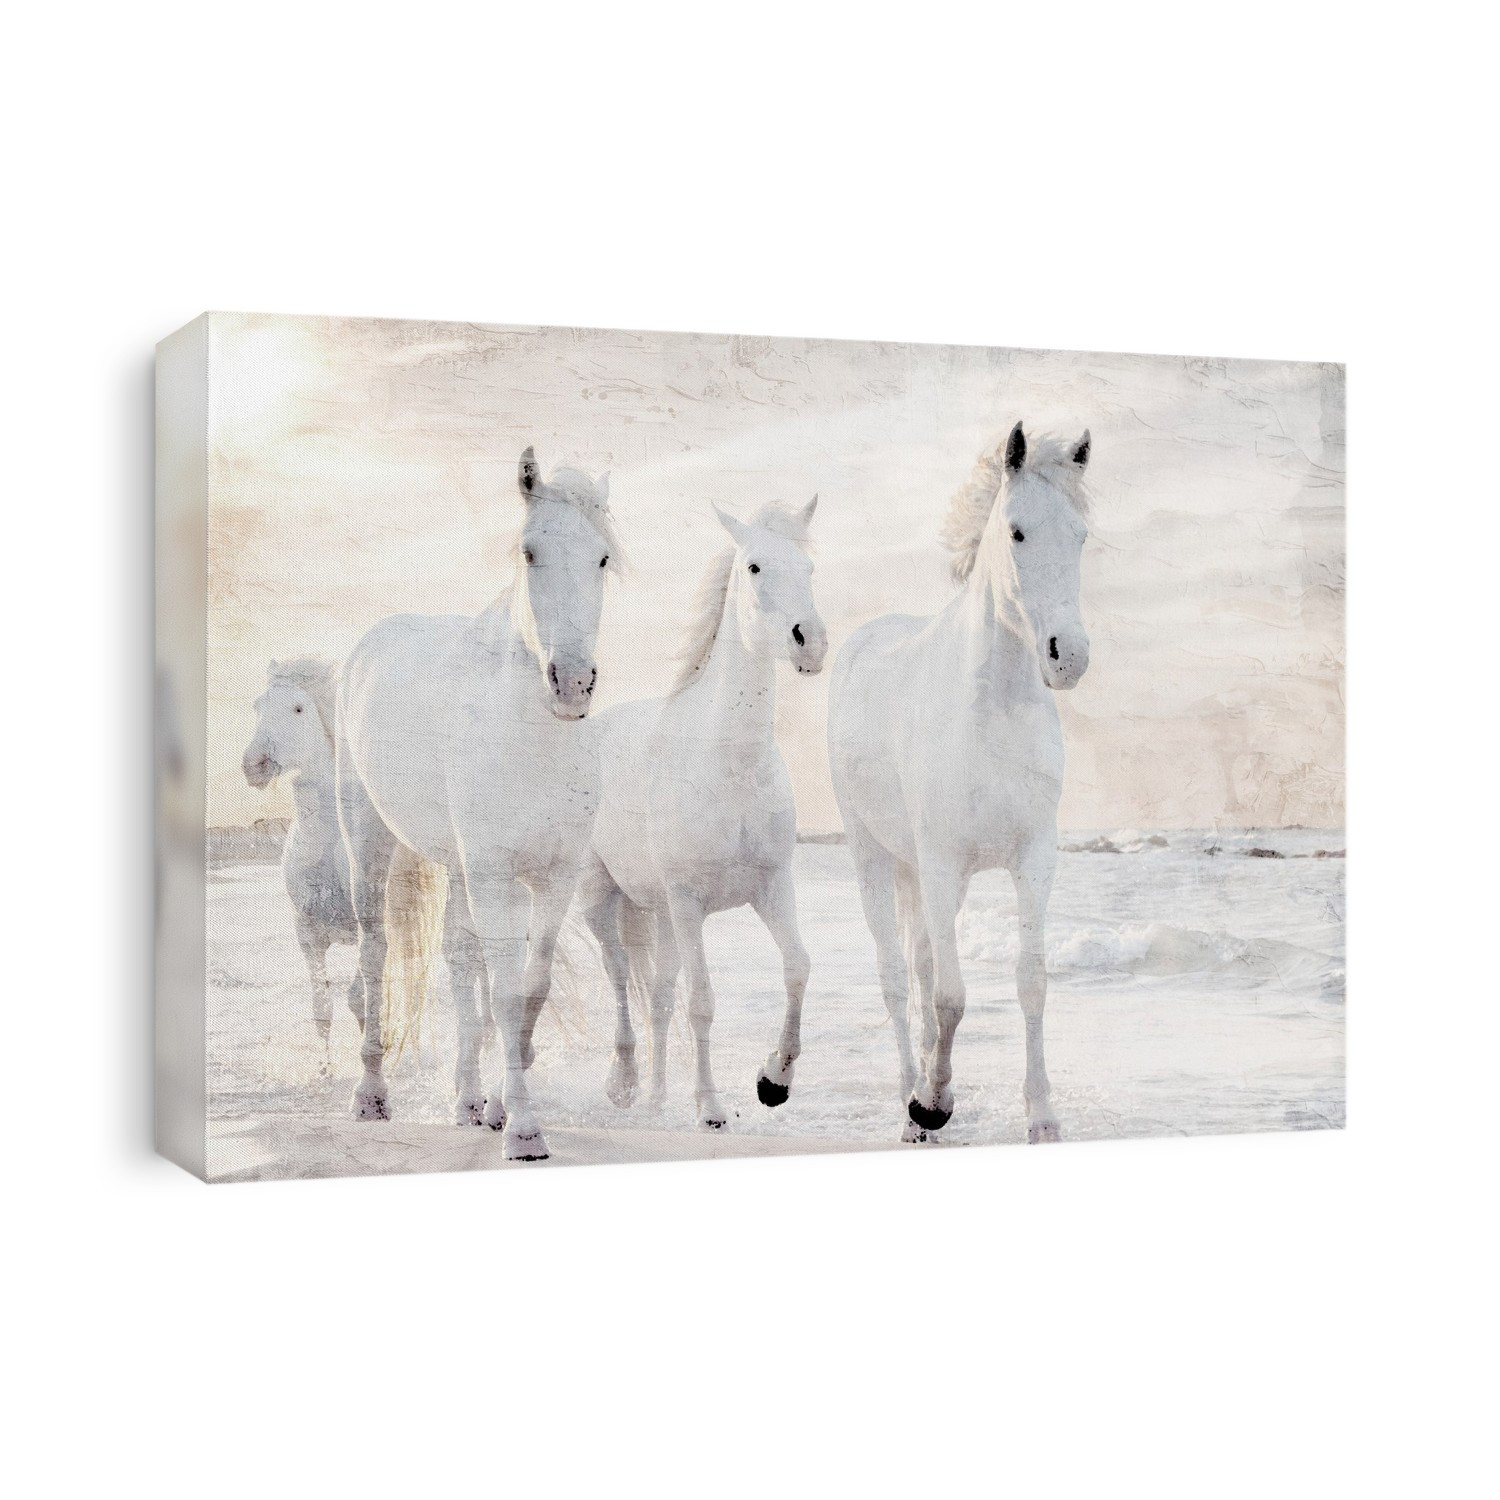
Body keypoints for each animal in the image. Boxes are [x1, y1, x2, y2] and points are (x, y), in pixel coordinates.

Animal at [241, 657, 362, 1064]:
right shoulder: (308, 934)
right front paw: (324, 1069)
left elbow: (362, 1001)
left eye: (298, 708)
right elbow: (321, 1008)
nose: (254, 765)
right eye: (257, 706)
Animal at [334, 447, 622, 1161]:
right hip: (371, 840)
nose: (572, 683)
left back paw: (467, 1100)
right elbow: (506, 988)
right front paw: (523, 1129)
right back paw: (370, 1095)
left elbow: (526, 987)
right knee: (375, 951)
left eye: (603, 558)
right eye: (529, 552)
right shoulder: (495, 873)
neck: (534, 733)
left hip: (457, 865)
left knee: (462, 964)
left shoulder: (552, 877)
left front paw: (500, 1104)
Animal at [579, 497, 827, 1131]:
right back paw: (623, 1084)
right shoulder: (690, 901)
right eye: (755, 566)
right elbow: (702, 1002)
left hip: (661, 915)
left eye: (809, 567)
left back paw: (656, 1097)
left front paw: (774, 1081)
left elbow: (797, 967)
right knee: (621, 978)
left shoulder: (771, 886)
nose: (809, 643)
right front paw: (711, 1106)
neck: (729, 764)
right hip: (603, 899)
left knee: (659, 997)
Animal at [827, 422, 1091, 1144]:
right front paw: (932, 1102)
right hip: (873, 856)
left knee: (919, 966)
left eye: (1081, 535)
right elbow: (950, 995)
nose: (1069, 656)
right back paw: (909, 1100)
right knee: (898, 976)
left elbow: (1030, 982)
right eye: (1017, 532)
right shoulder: (943, 862)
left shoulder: (1033, 859)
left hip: (926, 875)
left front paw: (1042, 1116)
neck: (993, 714)